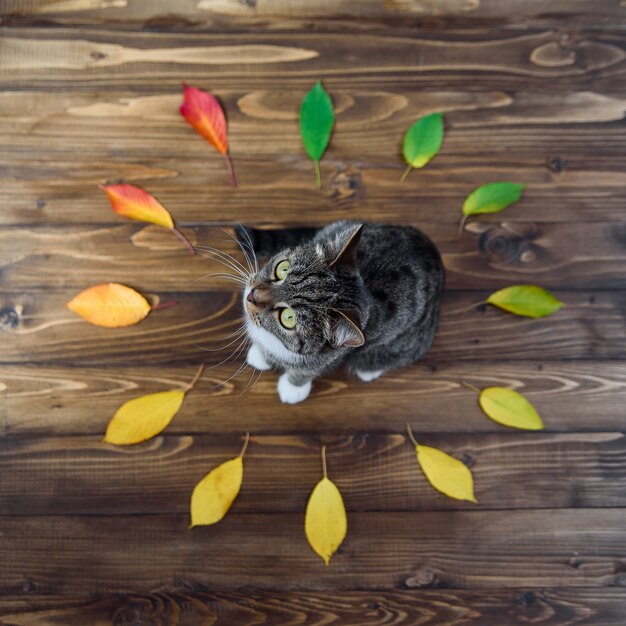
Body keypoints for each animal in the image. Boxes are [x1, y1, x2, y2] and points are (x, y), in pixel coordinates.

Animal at [235, 222, 444, 402]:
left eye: (288, 318)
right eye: (282, 268)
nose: (251, 295)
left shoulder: (331, 357)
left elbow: (305, 371)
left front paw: (292, 388)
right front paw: (261, 355)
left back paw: (368, 371)